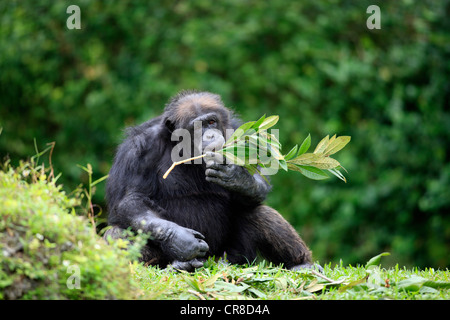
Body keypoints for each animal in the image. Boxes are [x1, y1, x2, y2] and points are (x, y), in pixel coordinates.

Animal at [105, 91, 316, 272]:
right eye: (198, 126)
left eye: (212, 121)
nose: (210, 134)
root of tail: (211, 262)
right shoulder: (139, 150)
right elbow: (132, 198)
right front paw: (182, 240)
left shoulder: (238, 134)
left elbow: (259, 179)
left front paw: (238, 178)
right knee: (117, 233)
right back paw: (177, 265)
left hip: (236, 258)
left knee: (258, 212)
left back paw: (302, 264)